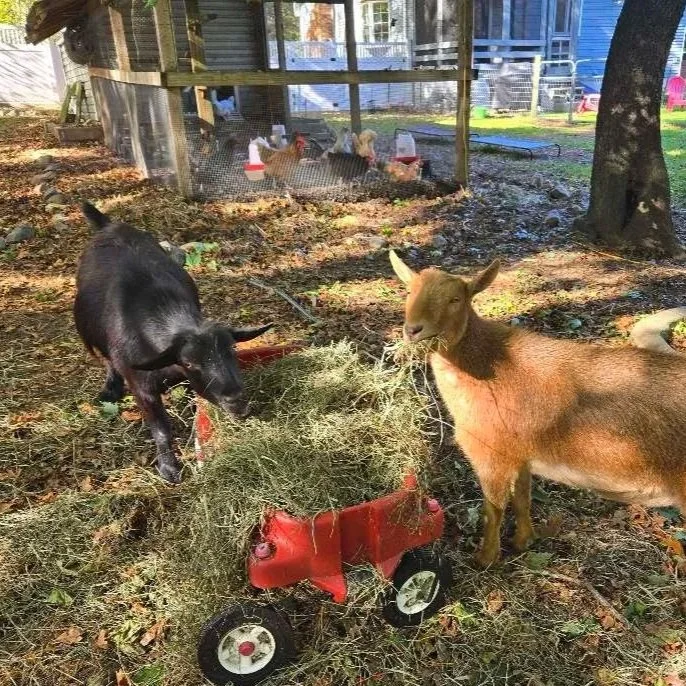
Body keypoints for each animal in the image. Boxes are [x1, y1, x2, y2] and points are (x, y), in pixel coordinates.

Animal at [74, 202, 272, 483]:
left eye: (232, 350)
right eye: (189, 362)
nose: (236, 401)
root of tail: (109, 225)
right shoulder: (142, 388)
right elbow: (161, 429)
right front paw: (169, 469)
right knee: (106, 359)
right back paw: (110, 389)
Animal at [390, 250, 686, 567]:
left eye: (456, 299)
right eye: (409, 291)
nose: (413, 330)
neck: (491, 367)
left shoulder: (491, 454)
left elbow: (493, 508)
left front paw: (485, 559)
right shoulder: (521, 455)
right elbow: (522, 499)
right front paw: (523, 541)